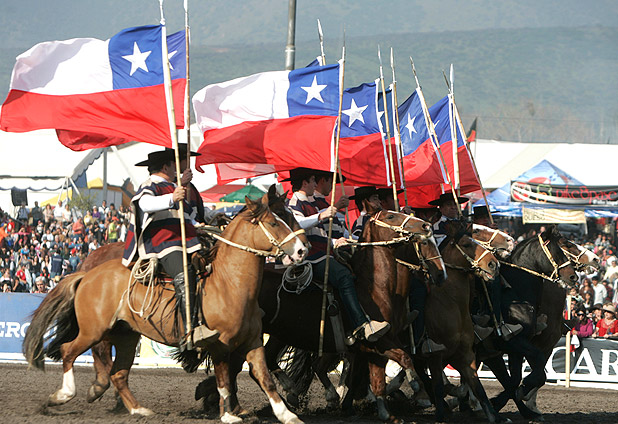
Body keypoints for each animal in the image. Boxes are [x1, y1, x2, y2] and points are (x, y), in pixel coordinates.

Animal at [21, 193, 310, 424]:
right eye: (274, 222)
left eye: (291, 218)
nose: (302, 250)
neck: (229, 283)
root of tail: (87, 274)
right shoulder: (220, 345)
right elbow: (224, 380)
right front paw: (228, 414)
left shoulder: (252, 342)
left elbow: (264, 377)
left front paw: (287, 415)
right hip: (93, 331)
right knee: (69, 352)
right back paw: (63, 395)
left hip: (126, 336)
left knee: (118, 374)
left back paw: (138, 410)